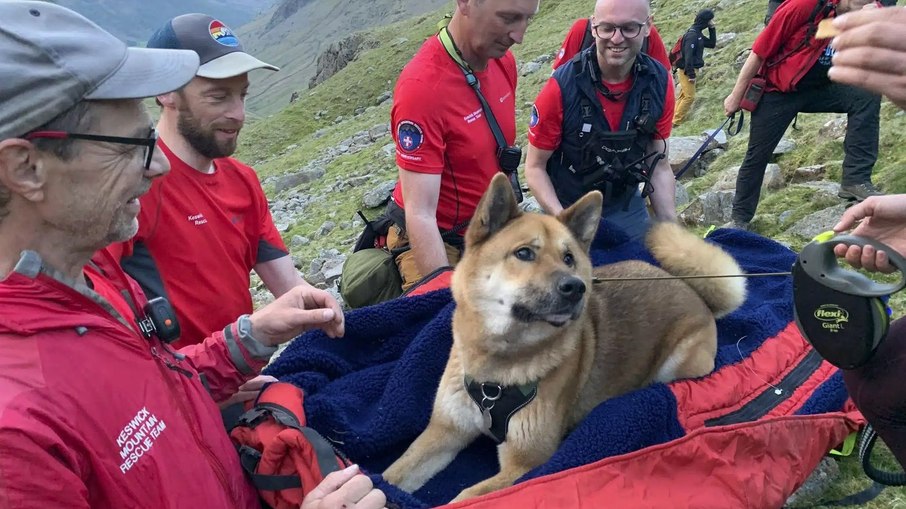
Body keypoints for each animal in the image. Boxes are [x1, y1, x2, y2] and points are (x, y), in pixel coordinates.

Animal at [380, 175, 740, 500]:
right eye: (524, 253)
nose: (575, 287)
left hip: (680, 363)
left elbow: (465, 497)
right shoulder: (444, 431)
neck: (497, 368)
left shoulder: (525, 463)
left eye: (569, 258)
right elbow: (392, 475)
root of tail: (693, 290)